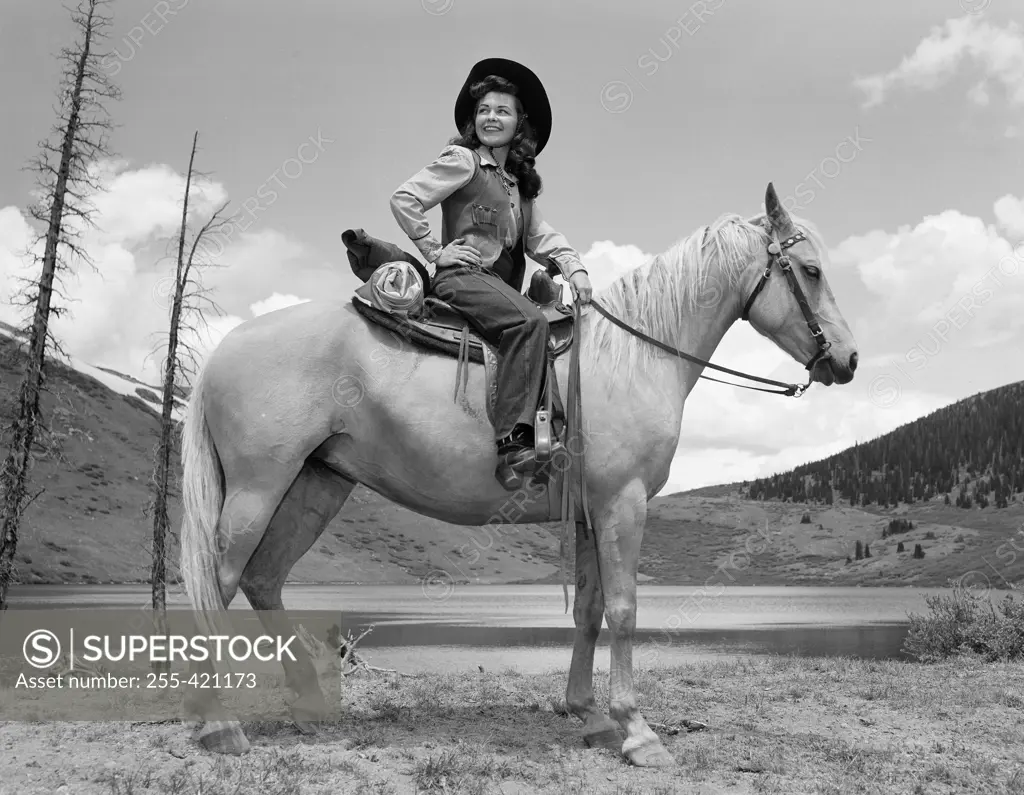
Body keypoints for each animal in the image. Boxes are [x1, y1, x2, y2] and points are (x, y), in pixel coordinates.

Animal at [176, 183, 856, 766]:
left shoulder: (589, 511)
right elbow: (625, 610)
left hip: (316, 485)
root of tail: (226, 346)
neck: (633, 357)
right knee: (217, 582)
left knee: (263, 578)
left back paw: (309, 705)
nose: (847, 360)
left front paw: (589, 715)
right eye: (812, 271)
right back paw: (220, 725)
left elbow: (589, 609)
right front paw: (638, 733)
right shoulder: (624, 502)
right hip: (258, 488)